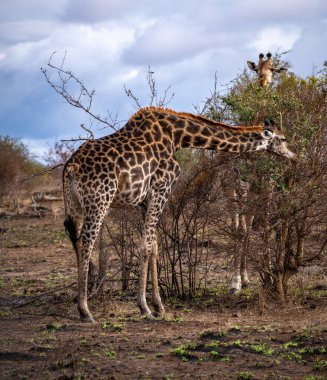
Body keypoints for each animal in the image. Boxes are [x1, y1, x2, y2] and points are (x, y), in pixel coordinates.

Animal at [62, 107, 296, 324]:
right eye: (283, 139)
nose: (293, 155)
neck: (177, 137)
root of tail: (70, 167)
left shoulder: (145, 201)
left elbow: (154, 247)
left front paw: (159, 306)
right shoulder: (161, 190)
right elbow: (146, 246)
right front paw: (144, 307)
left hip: (75, 206)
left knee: (76, 241)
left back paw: (83, 304)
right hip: (100, 201)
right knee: (86, 243)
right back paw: (86, 312)